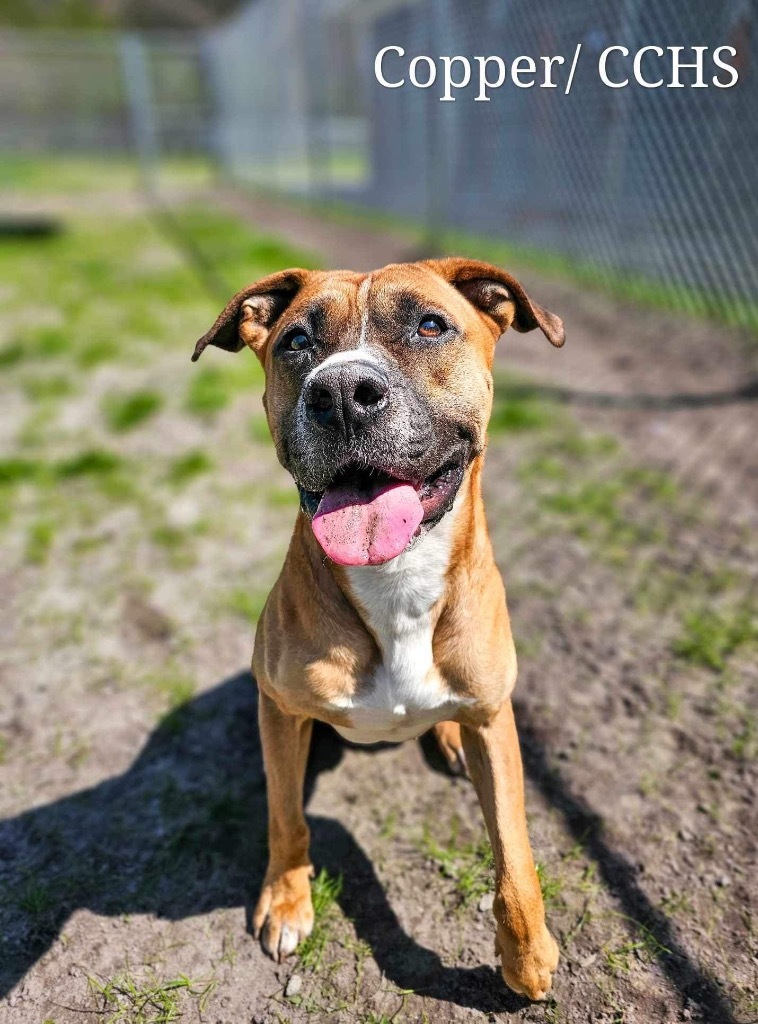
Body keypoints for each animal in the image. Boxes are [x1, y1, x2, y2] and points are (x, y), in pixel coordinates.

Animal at [192, 258, 565, 999]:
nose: (340, 393)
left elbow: (514, 852)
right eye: (296, 341)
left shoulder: (494, 719)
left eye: (430, 325)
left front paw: (528, 956)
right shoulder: (282, 712)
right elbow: (286, 818)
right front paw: (286, 901)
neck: (398, 582)